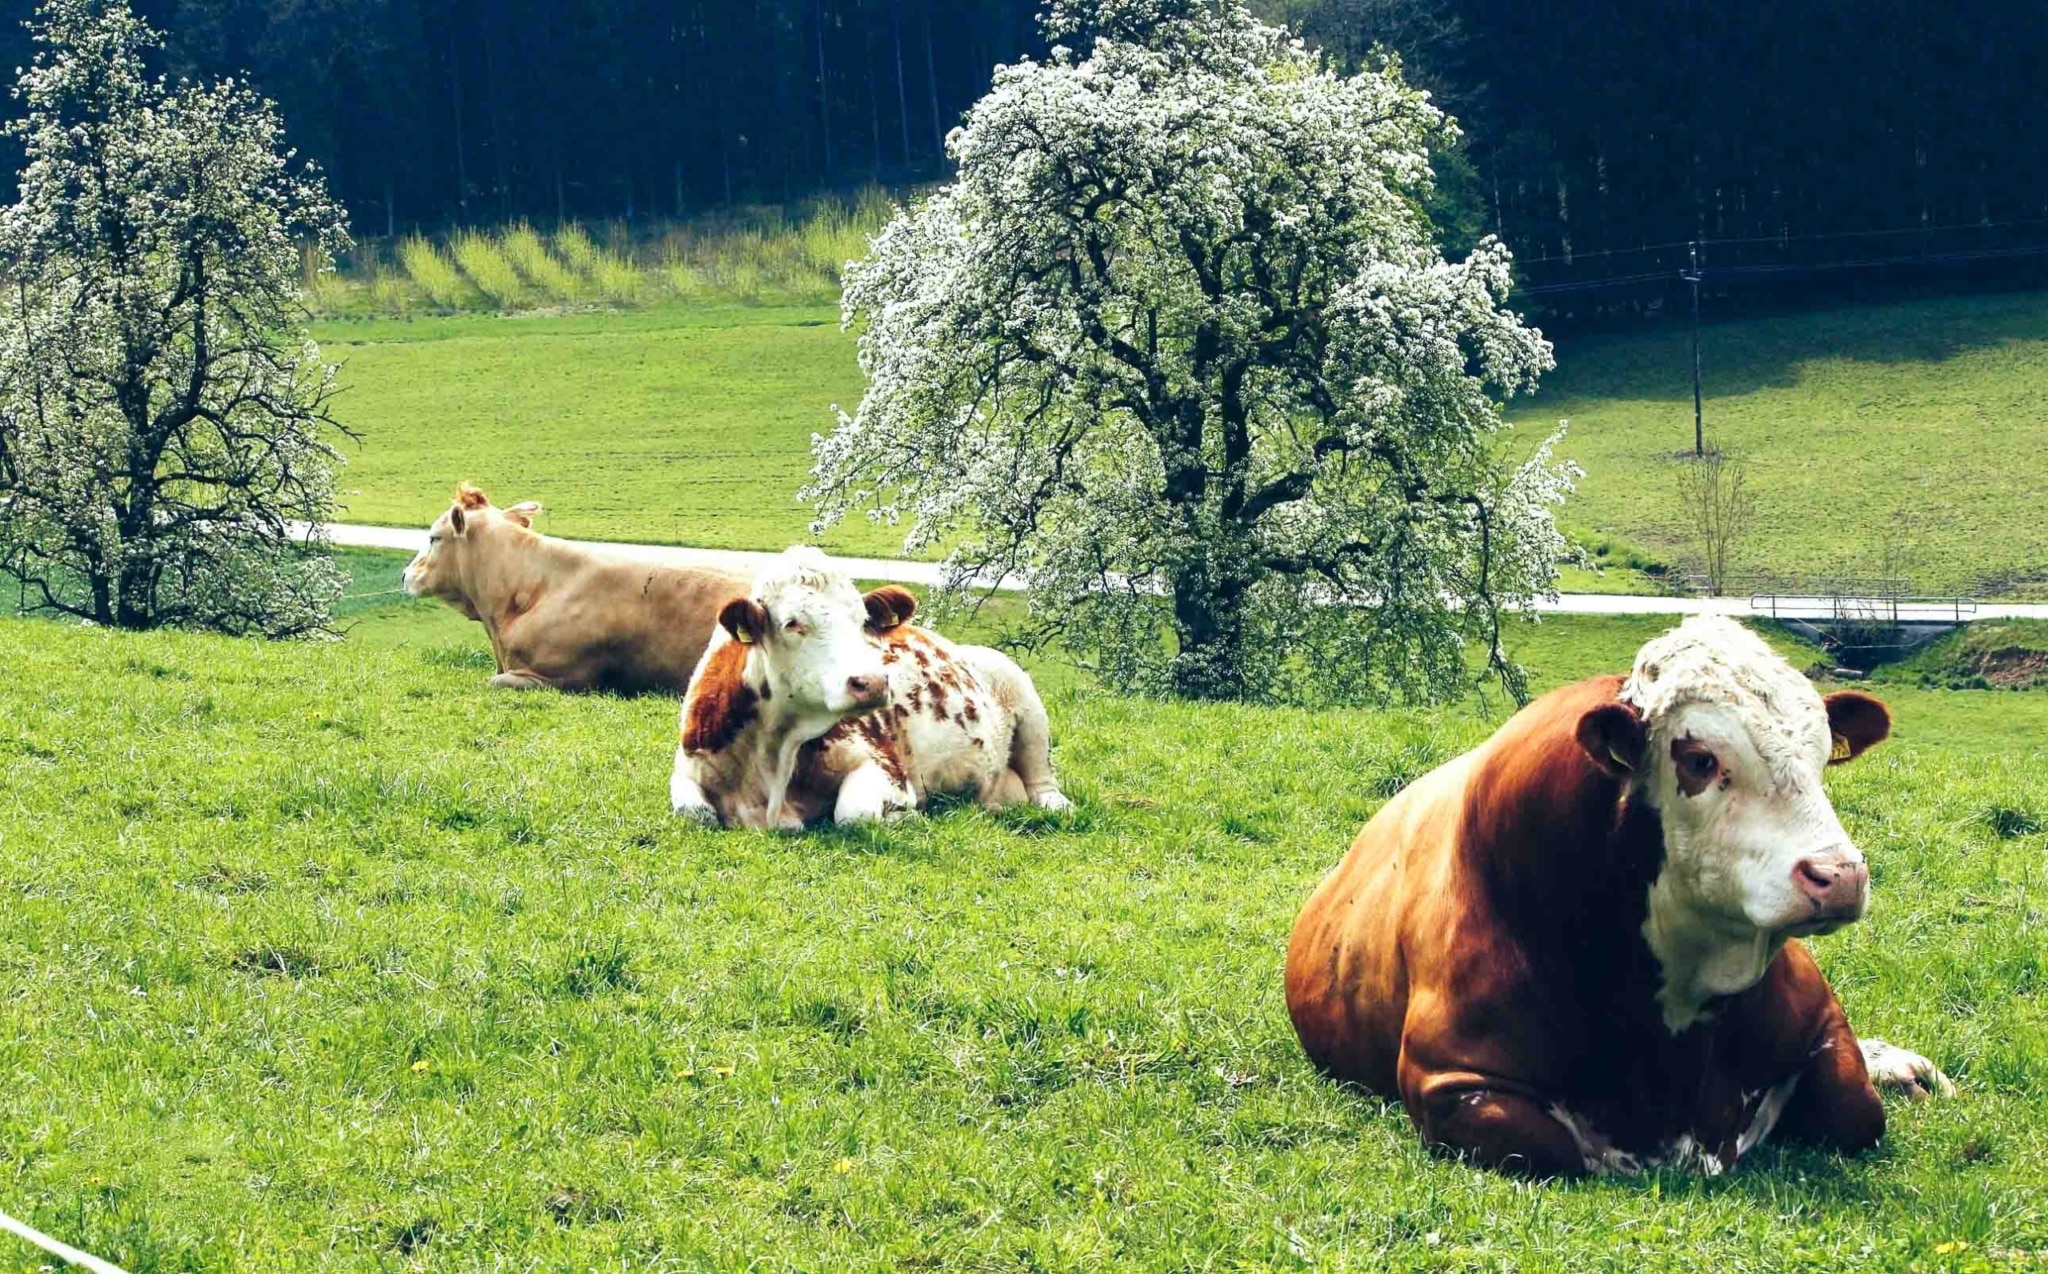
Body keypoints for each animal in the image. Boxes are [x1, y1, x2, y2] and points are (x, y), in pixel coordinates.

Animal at [668, 546, 1071, 829]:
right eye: (792, 623)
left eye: (863, 620)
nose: (873, 681)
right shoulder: (688, 766)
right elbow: (693, 812)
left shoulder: (884, 766)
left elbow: (853, 813)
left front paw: (905, 814)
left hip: (1027, 703)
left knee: (1044, 784)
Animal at [1285, 615, 1952, 1177]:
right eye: (1700, 759)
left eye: (1820, 758)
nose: (1839, 874)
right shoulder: (1450, 1078)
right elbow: (1559, 1150)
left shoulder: (1821, 1022)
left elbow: (1857, 1109)